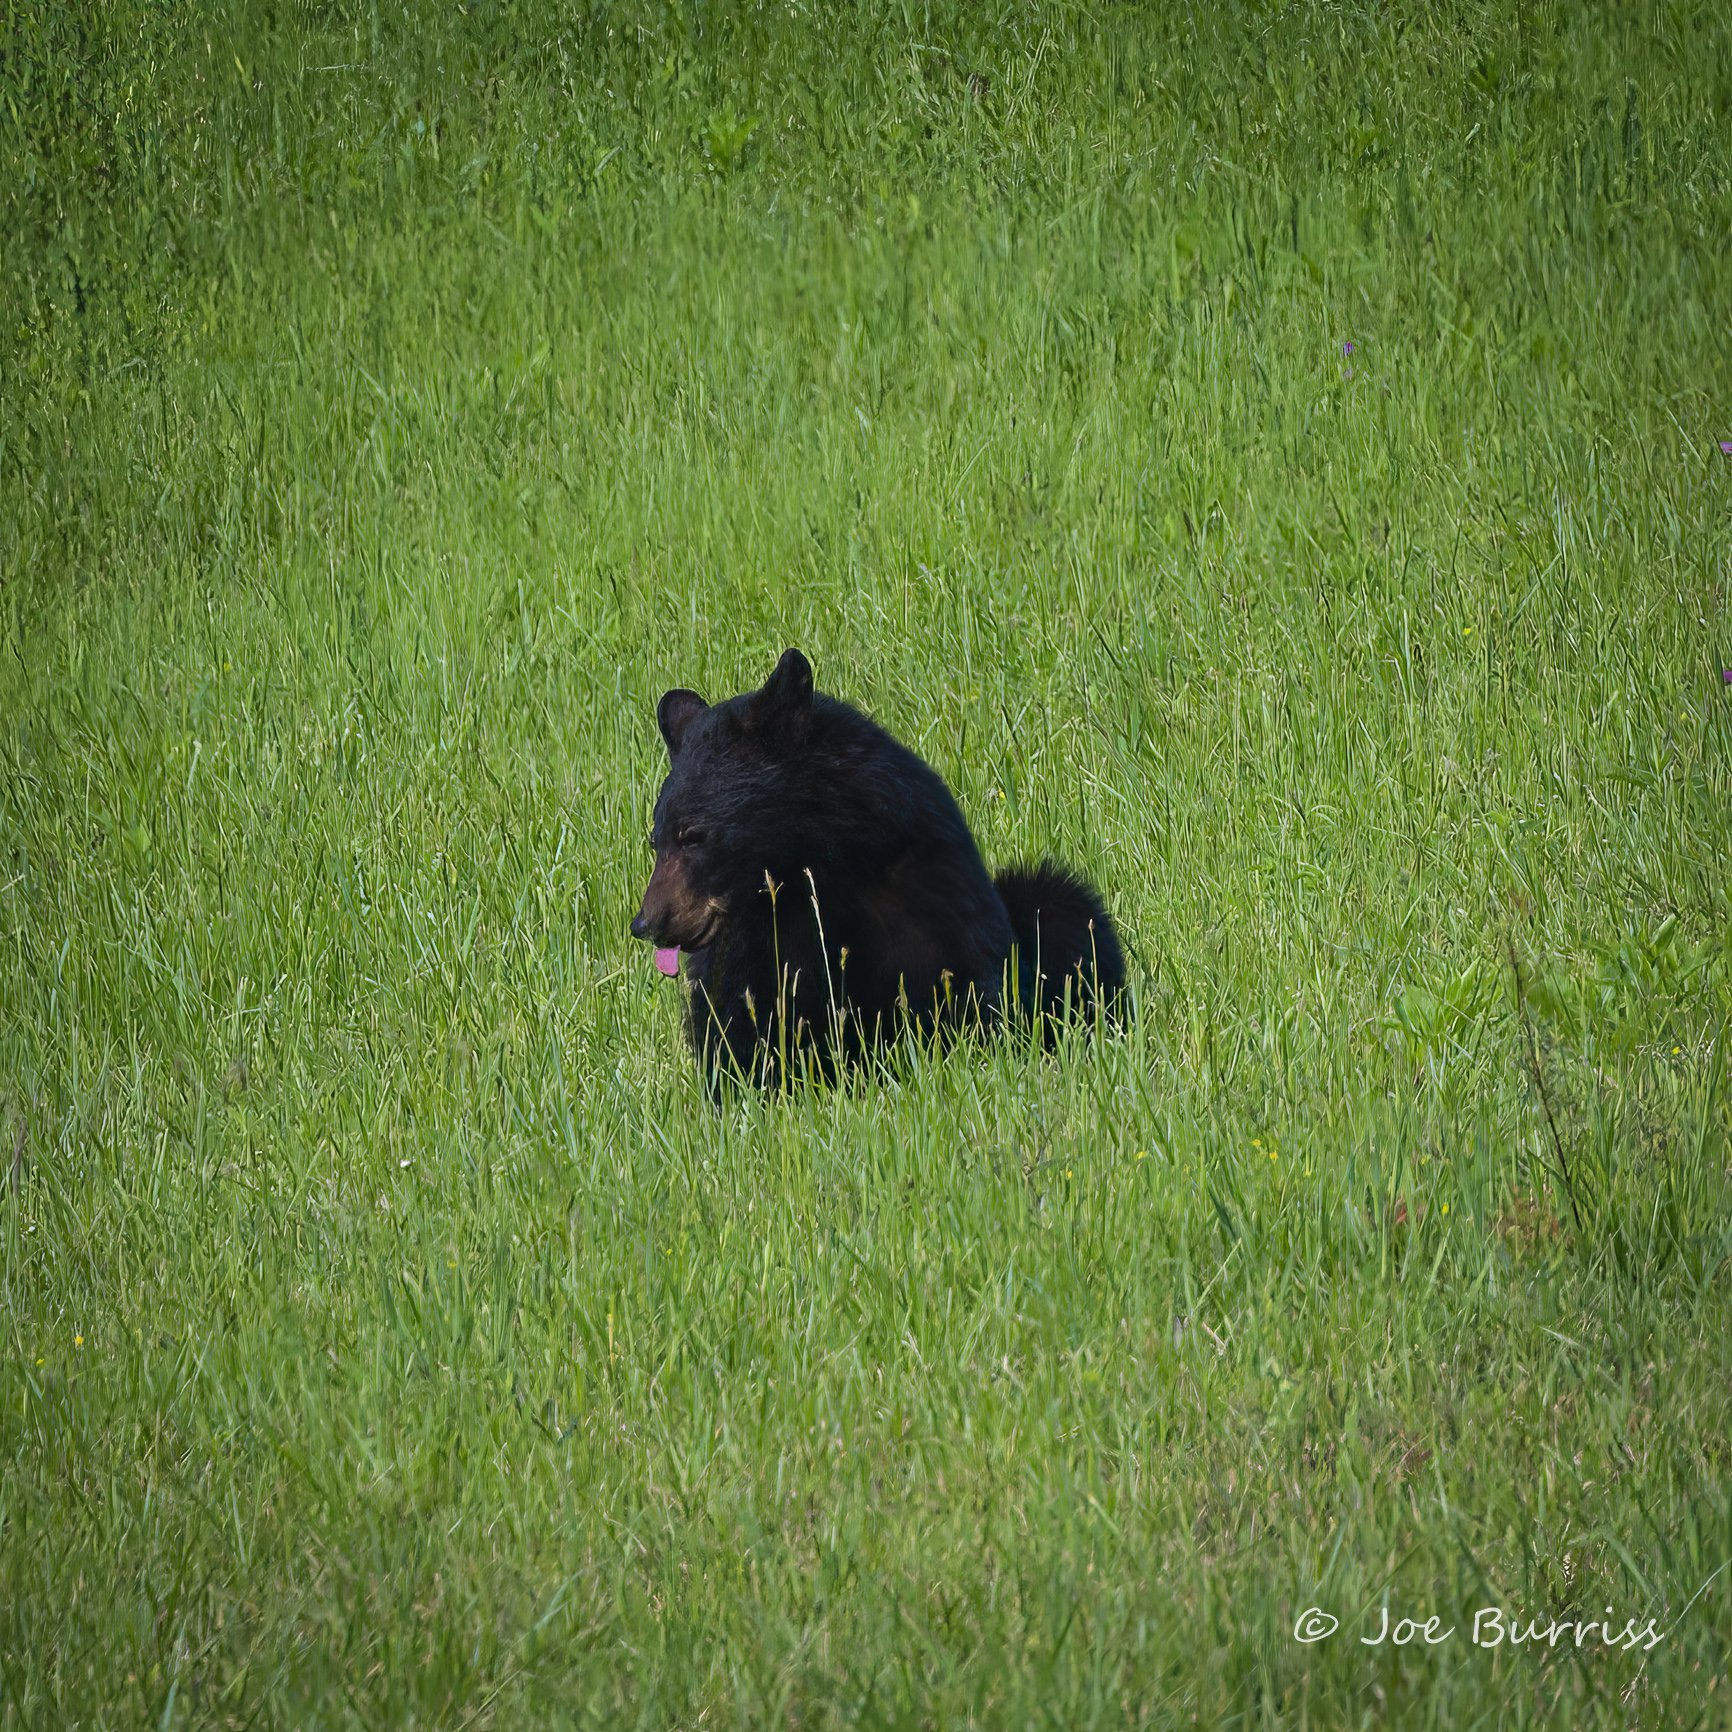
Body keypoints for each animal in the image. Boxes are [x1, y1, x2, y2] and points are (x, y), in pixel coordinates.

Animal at [630, 648, 1126, 1089]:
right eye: (656, 839)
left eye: (694, 835)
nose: (647, 923)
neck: (817, 872)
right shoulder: (746, 958)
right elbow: (741, 1036)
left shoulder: (932, 907)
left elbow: (966, 999)